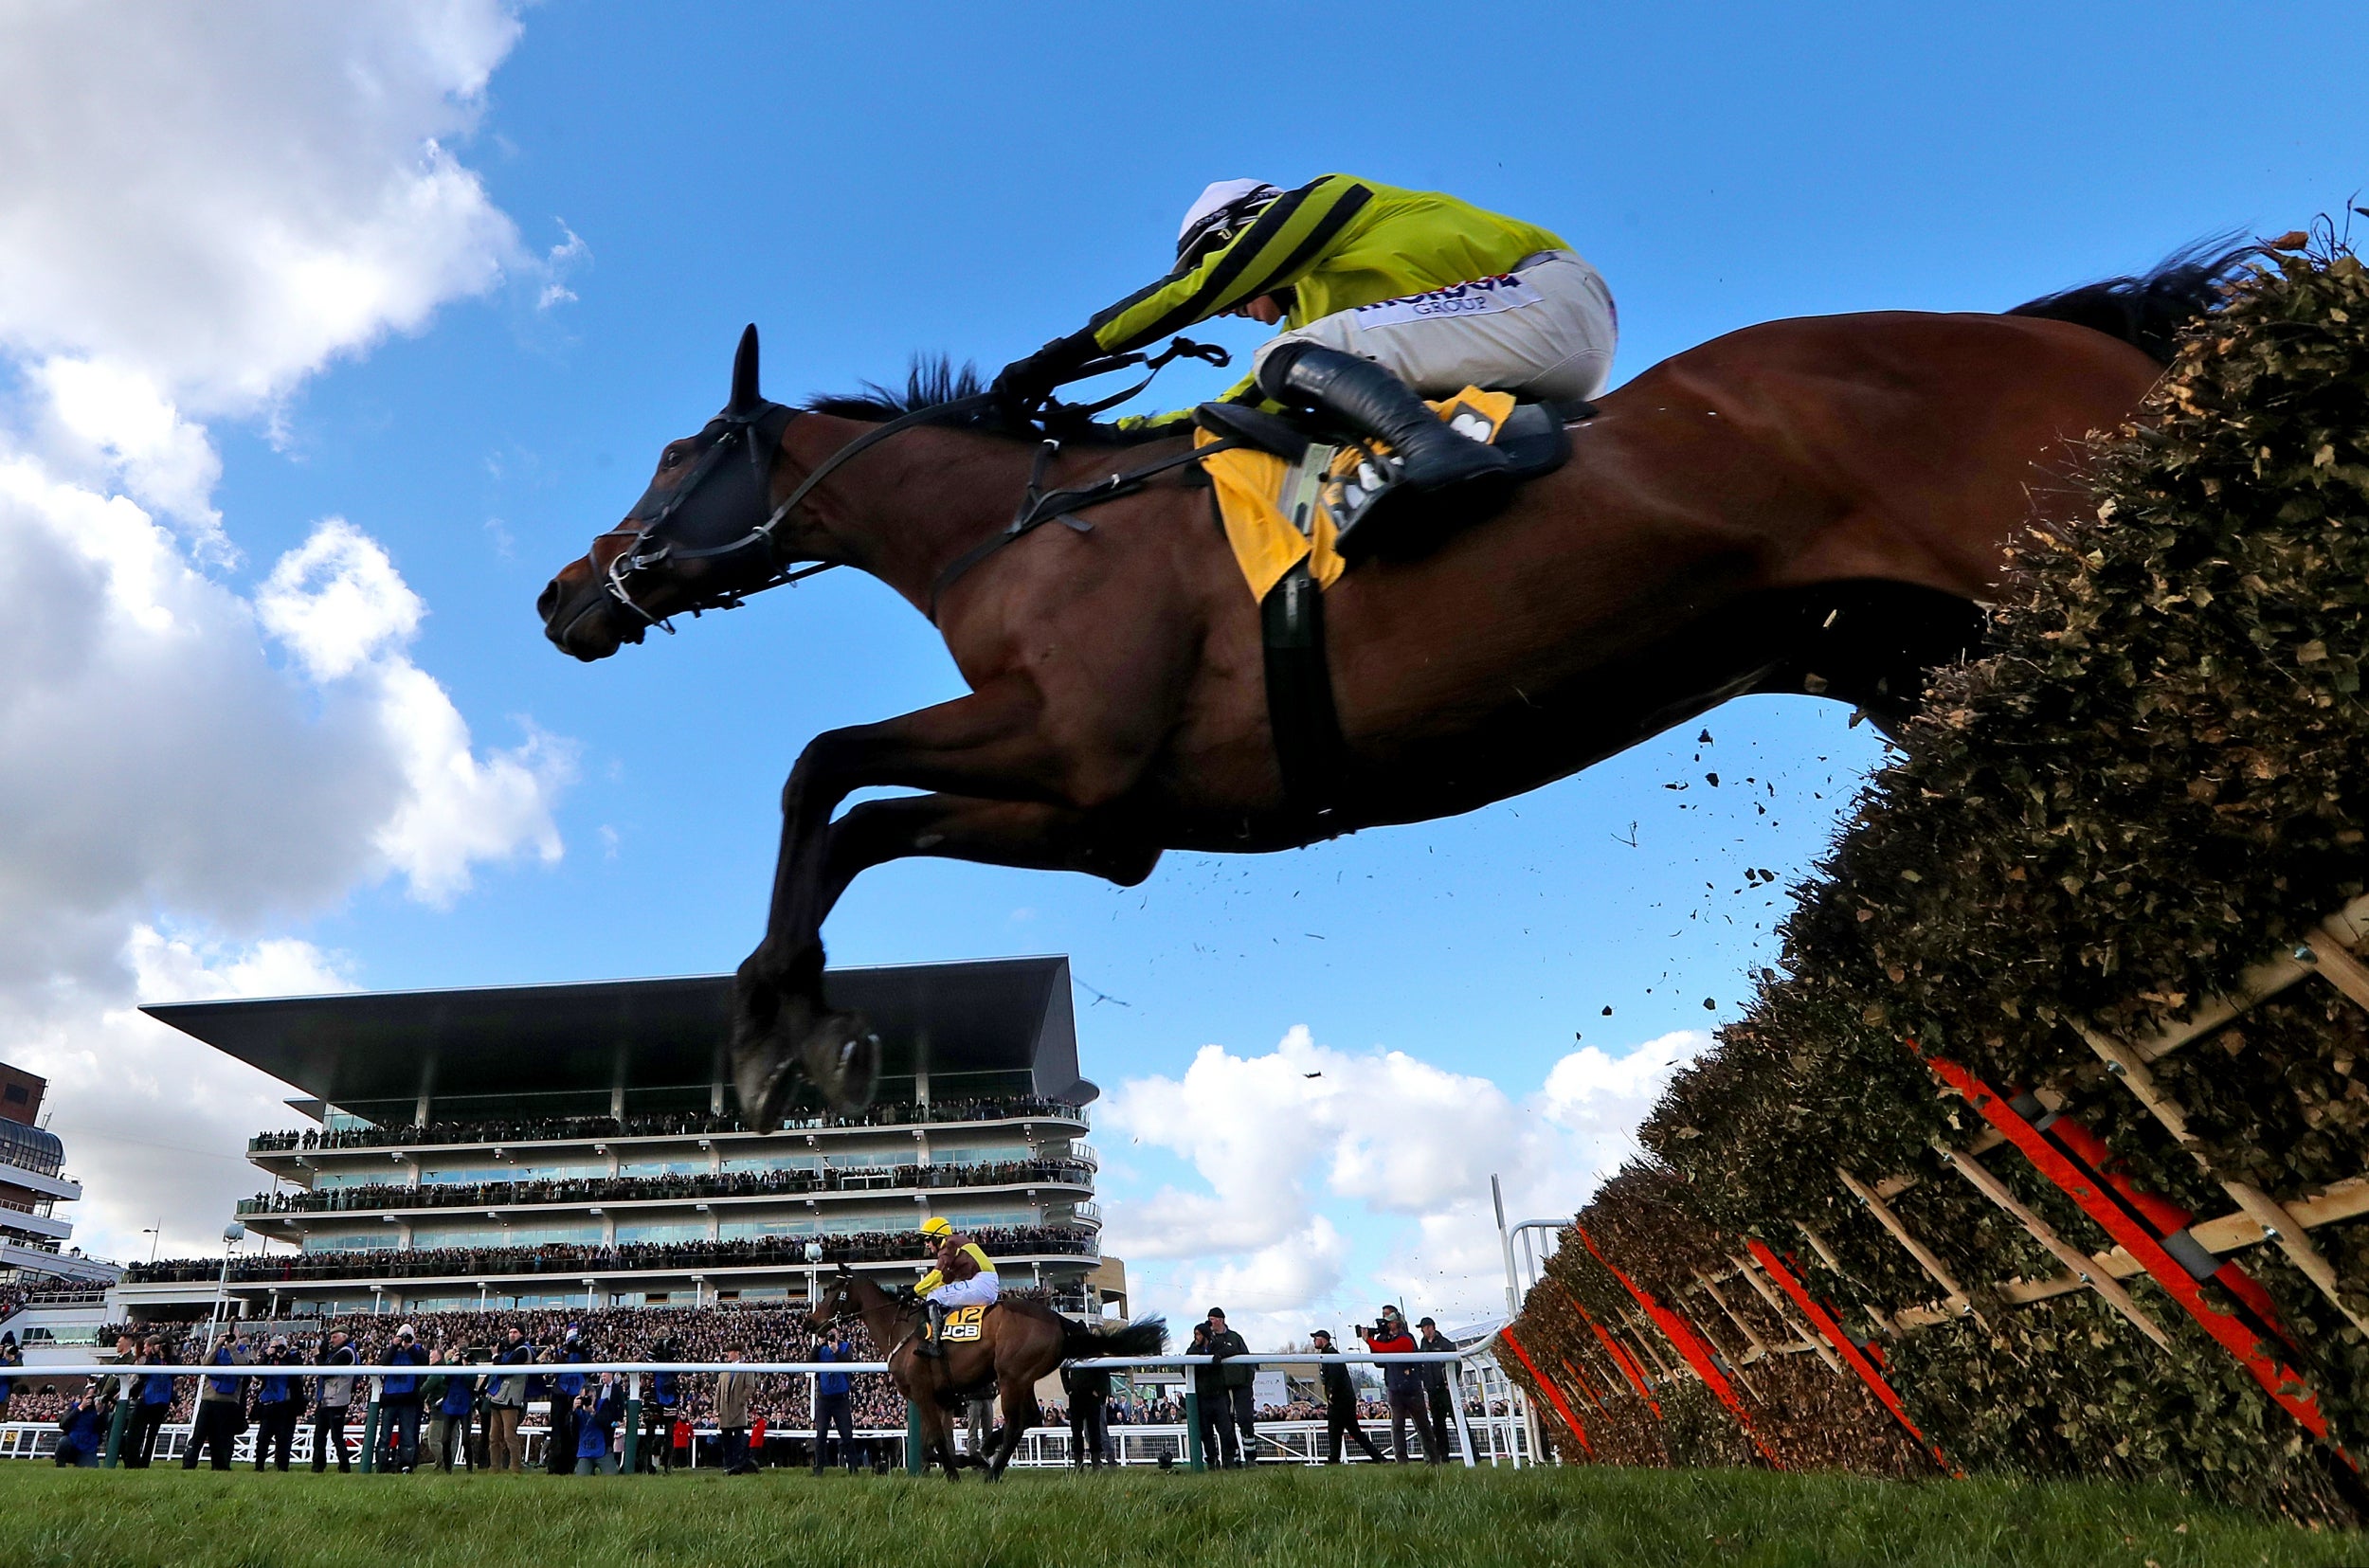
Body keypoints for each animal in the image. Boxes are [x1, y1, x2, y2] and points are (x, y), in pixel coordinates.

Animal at [542, 239, 2255, 1118]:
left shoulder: (1076, 747)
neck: (1027, 525)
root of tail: (2067, 328)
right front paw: (803, 1024)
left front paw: (771, 1031)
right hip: (1928, 652)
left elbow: (821, 768)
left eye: (679, 456)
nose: (564, 594)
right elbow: (856, 821)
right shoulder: (1105, 819)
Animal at [810, 1270, 1170, 1487]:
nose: (810, 1322)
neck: (903, 1332)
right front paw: (952, 1463)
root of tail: (1059, 1319)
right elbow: (930, 1442)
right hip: (1023, 1378)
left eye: (833, 1292)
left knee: (1017, 1421)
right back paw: (987, 1451)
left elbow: (937, 1440)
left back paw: (992, 1467)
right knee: (1031, 1416)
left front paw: (958, 1468)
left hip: (1011, 1376)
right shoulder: (938, 1399)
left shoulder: (925, 1394)